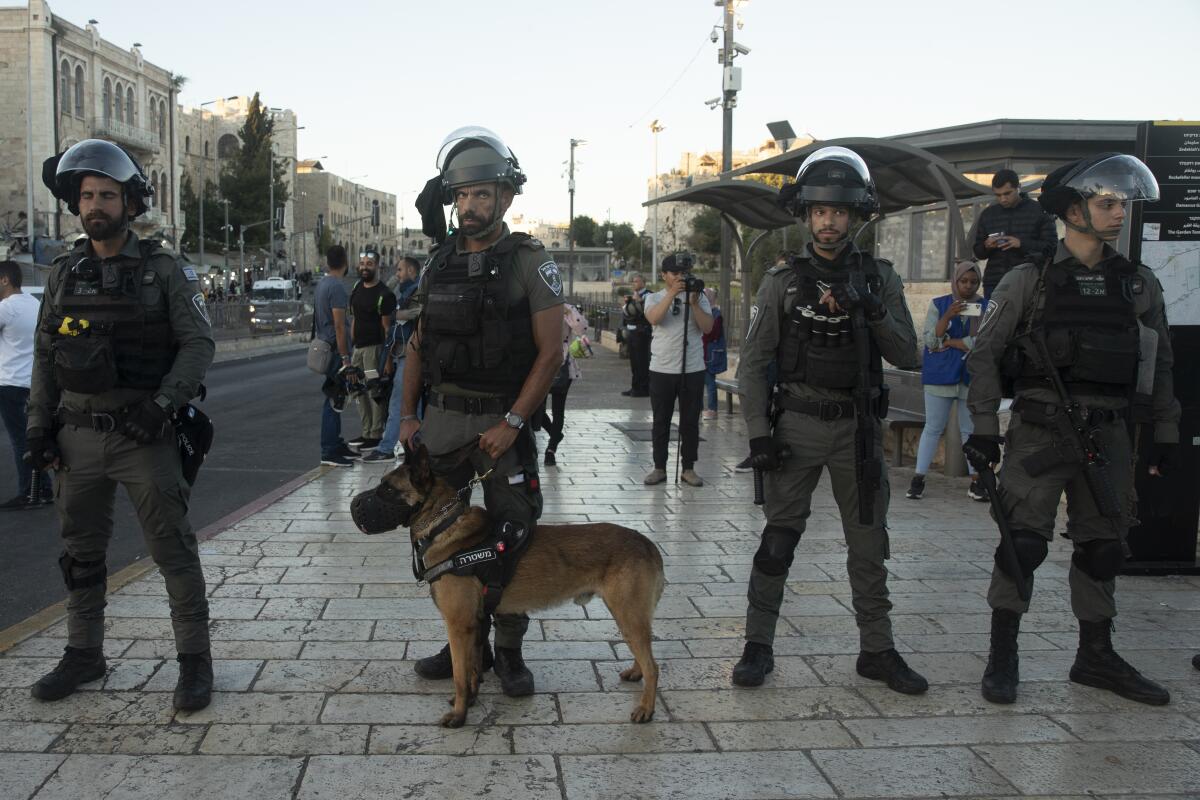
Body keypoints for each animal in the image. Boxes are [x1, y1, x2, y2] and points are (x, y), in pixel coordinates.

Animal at [348, 443, 667, 734]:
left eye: (388, 489)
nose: (353, 506)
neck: (443, 524)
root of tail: (648, 543)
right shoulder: (475, 623)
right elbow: (473, 668)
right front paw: (471, 700)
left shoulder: (458, 625)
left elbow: (460, 675)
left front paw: (459, 715)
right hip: (627, 616)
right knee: (643, 655)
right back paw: (635, 673)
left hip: (627, 615)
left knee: (654, 666)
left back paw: (646, 708)